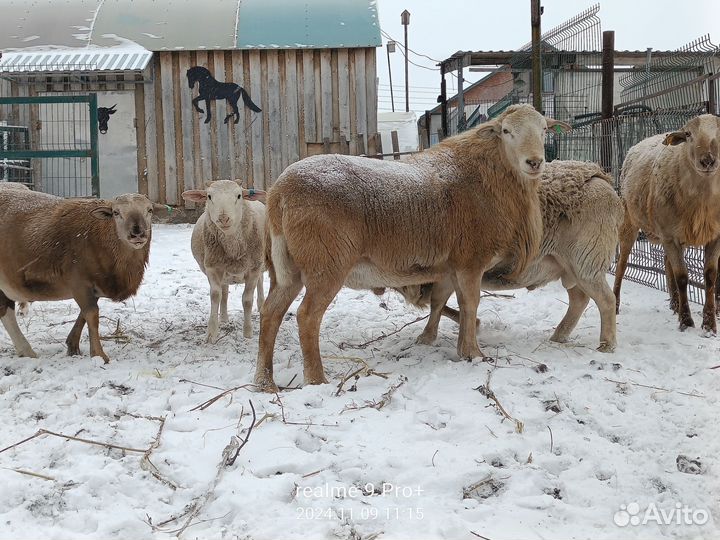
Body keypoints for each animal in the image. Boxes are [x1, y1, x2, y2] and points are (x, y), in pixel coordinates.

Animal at [183, 180, 268, 342]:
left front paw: (247, 333)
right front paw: (211, 333)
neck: (233, 249)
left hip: (261, 261)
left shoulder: (253, 269)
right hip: (224, 270)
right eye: (209, 196)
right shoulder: (212, 268)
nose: (223, 218)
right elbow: (216, 296)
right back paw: (223, 318)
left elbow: (247, 300)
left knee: (260, 282)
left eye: (239, 195)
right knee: (225, 292)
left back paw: (261, 306)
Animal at [253, 104, 568, 392]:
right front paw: (473, 353)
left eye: (544, 129)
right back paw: (317, 380)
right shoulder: (471, 260)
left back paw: (264, 381)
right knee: (307, 317)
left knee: (270, 313)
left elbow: (441, 300)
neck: (490, 176)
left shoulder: (449, 265)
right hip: (326, 262)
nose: (534, 162)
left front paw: (434, 341)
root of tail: (279, 192)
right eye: (506, 131)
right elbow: (470, 303)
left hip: (288, 267)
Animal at [394, 158, 624, 352]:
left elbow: (440, 302)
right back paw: (559, 336)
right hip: (568, 266)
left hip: (586, 260)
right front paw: (427, 337)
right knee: (579, 299)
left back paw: (607, 345)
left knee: (606, 299)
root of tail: (600, 177)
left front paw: (431, 336)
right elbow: (438, 303)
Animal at [612, 114, 720, 334]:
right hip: (630, 219)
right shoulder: (670, 236)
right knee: (622, 263)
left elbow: (710, 276)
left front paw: (709, 323)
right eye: (688, 134)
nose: (707, 161)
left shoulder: (714, 235)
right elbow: (682, 277)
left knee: (665, 260)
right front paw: (686, 322)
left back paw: (675, 303)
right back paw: (616, 303)